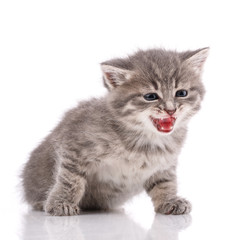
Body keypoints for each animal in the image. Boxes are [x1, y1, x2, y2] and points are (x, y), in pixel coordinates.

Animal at [22, 47, 208, 217]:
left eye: (181, 93)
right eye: (150, 96)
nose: (171, 110)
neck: (145, 140)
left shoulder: (165, 164)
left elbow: (165, 182)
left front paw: (170, 200)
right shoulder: (74, 144)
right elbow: (70, 178)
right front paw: (61, 203)